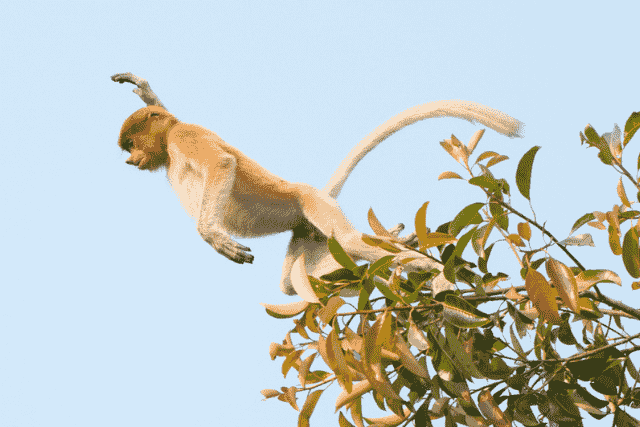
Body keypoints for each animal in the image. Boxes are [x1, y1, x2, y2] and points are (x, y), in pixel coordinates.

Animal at [111, 73, 523, 295]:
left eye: (130, 144)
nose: (130, 161)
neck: (167, 147)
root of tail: (316, 192)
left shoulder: (186, 136)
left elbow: (222, 163)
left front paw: (217, 239)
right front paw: (144, 89)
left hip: (312, 204)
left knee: (351, 242)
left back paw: (431, 270)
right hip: (305, 233)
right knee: (292, 283)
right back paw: (398, 244)